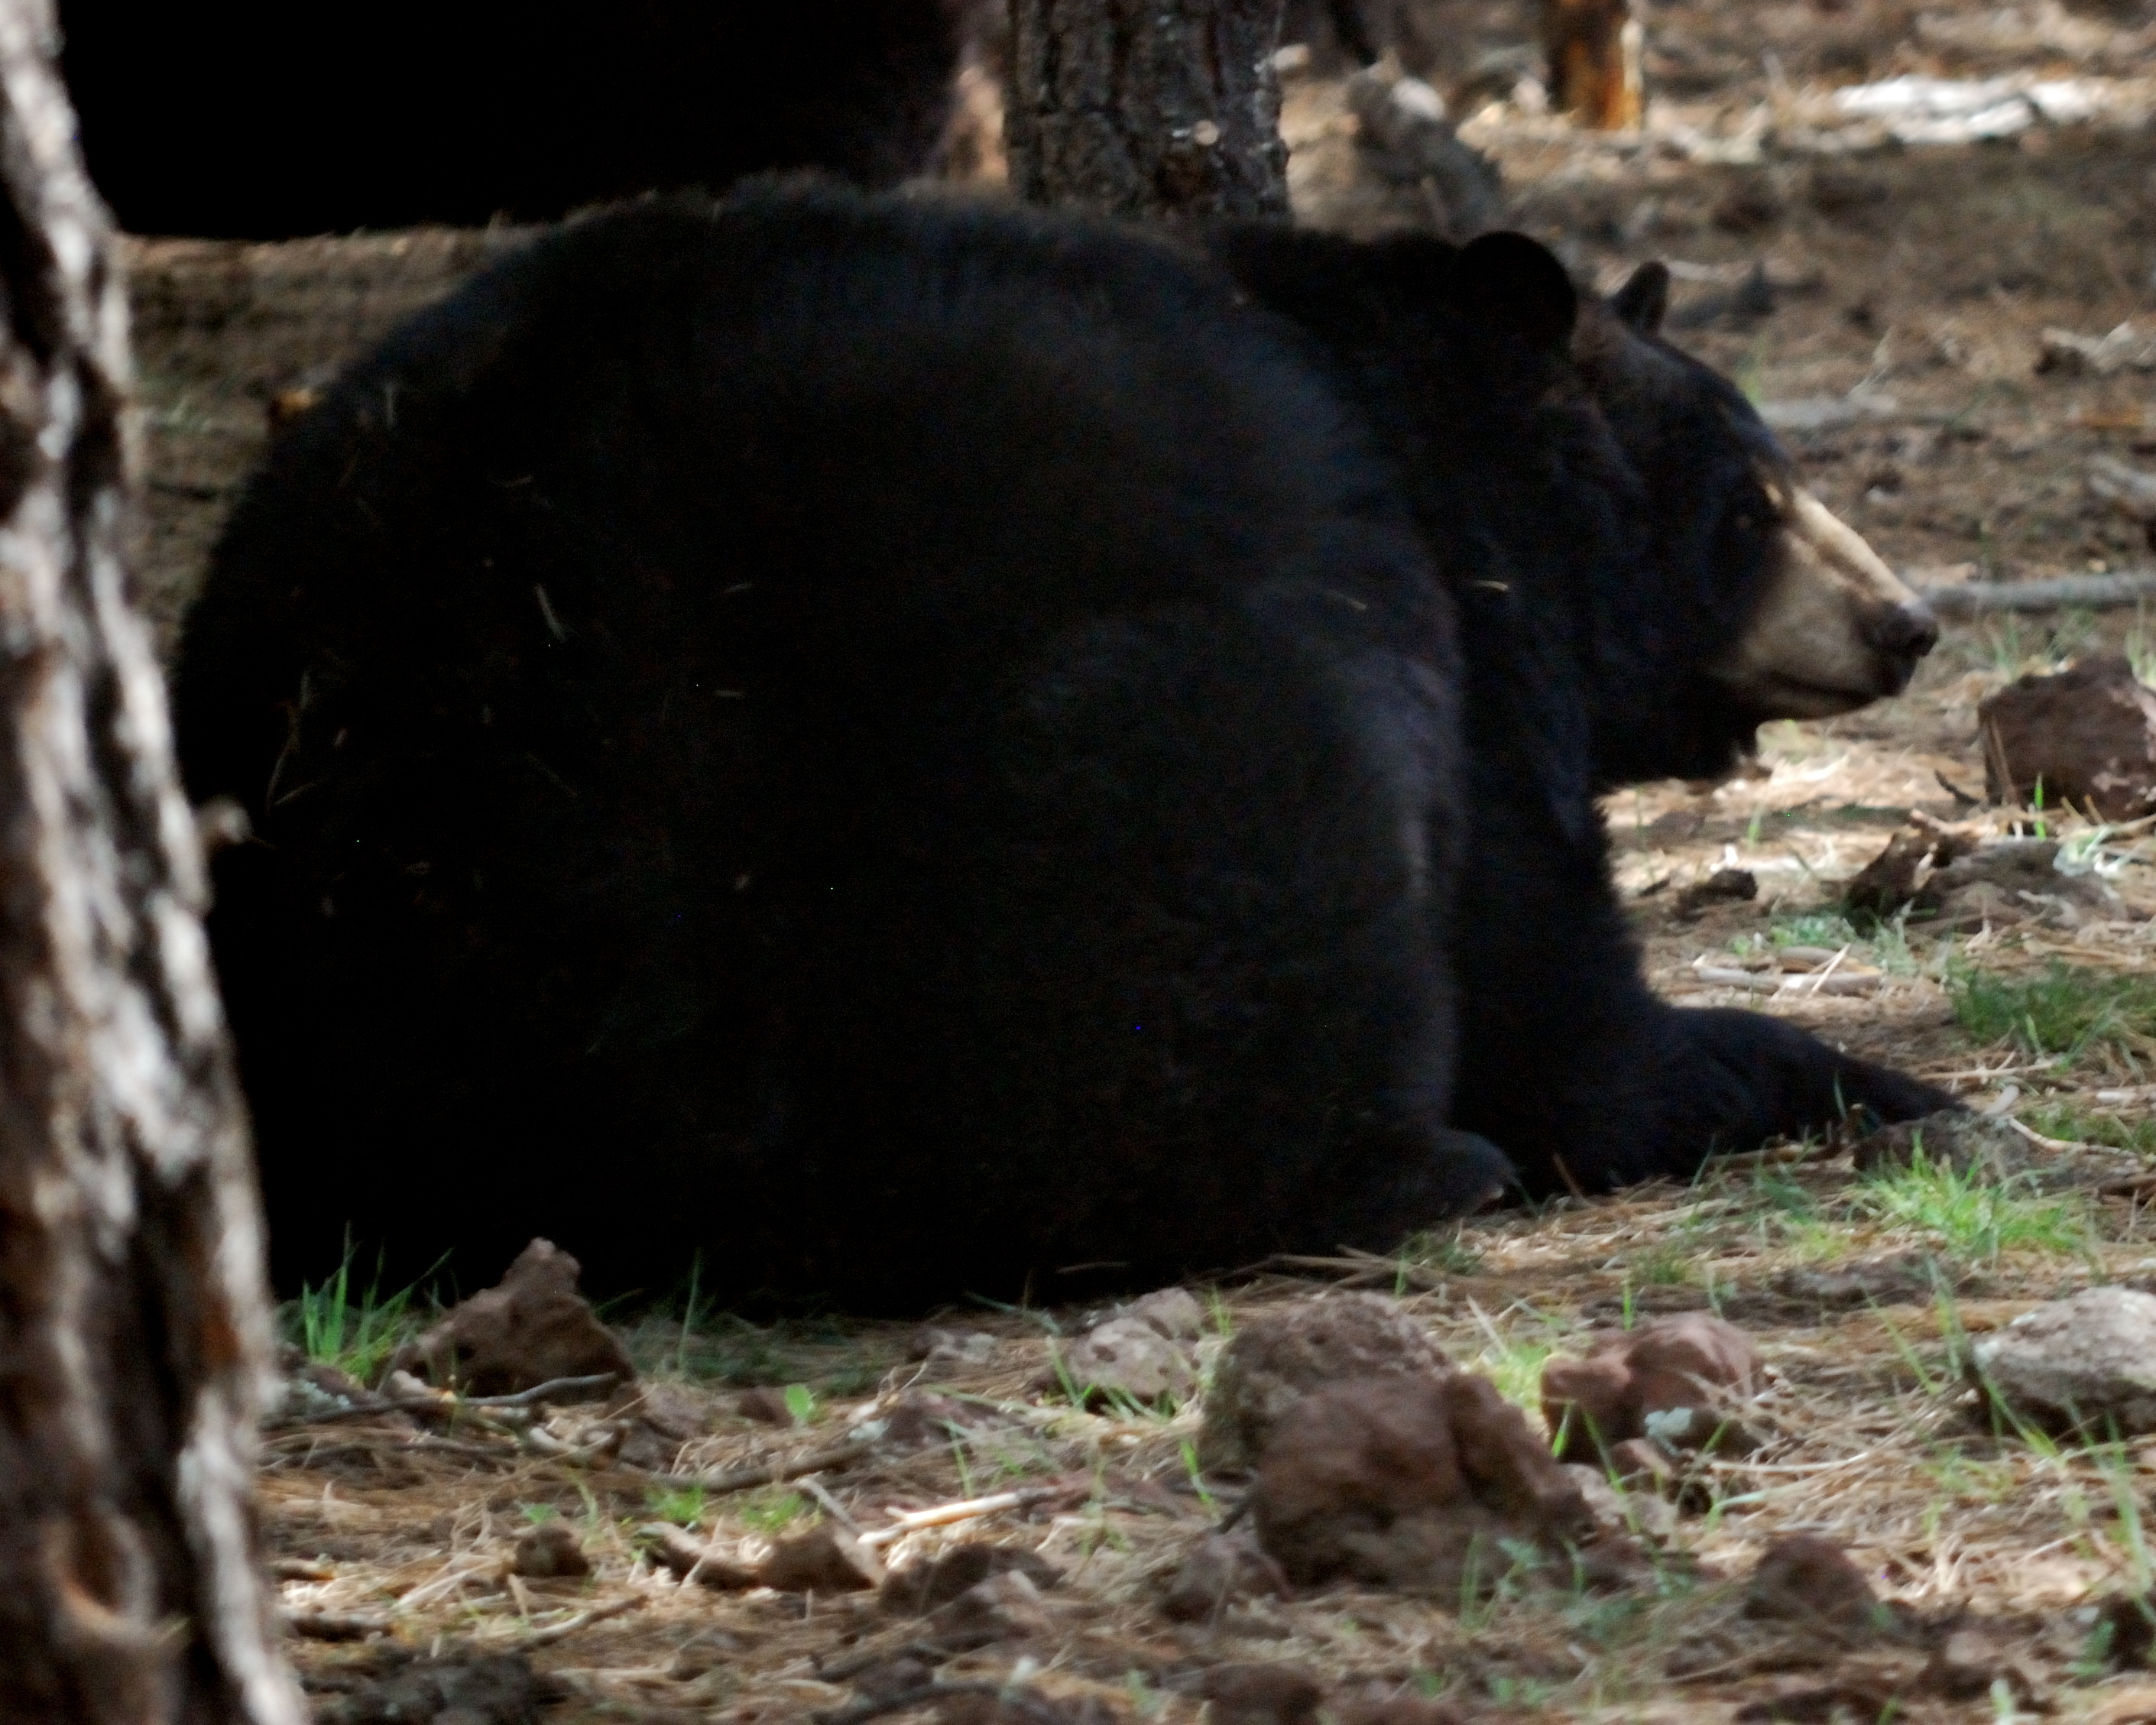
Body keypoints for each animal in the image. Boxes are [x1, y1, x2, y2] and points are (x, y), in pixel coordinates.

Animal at [172, 182, 1957, 1302]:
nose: (1909, 623)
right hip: (1125, 762)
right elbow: (1547, 997)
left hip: (380, 929)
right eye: (1753, 501)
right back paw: (1408, 1167)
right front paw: (1848, 1075)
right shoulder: (1472, 637)